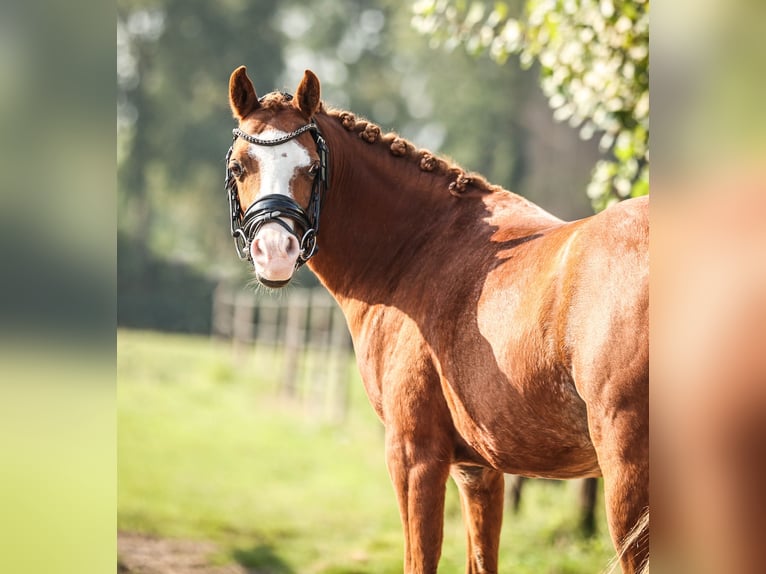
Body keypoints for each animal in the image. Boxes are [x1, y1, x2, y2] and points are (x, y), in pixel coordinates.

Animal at [225, 65, 652, 572]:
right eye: (238, 167)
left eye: (310, 168)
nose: (274, 253)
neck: (420, 249)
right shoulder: (477, 469)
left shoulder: (414, 457)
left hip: (628, 478)